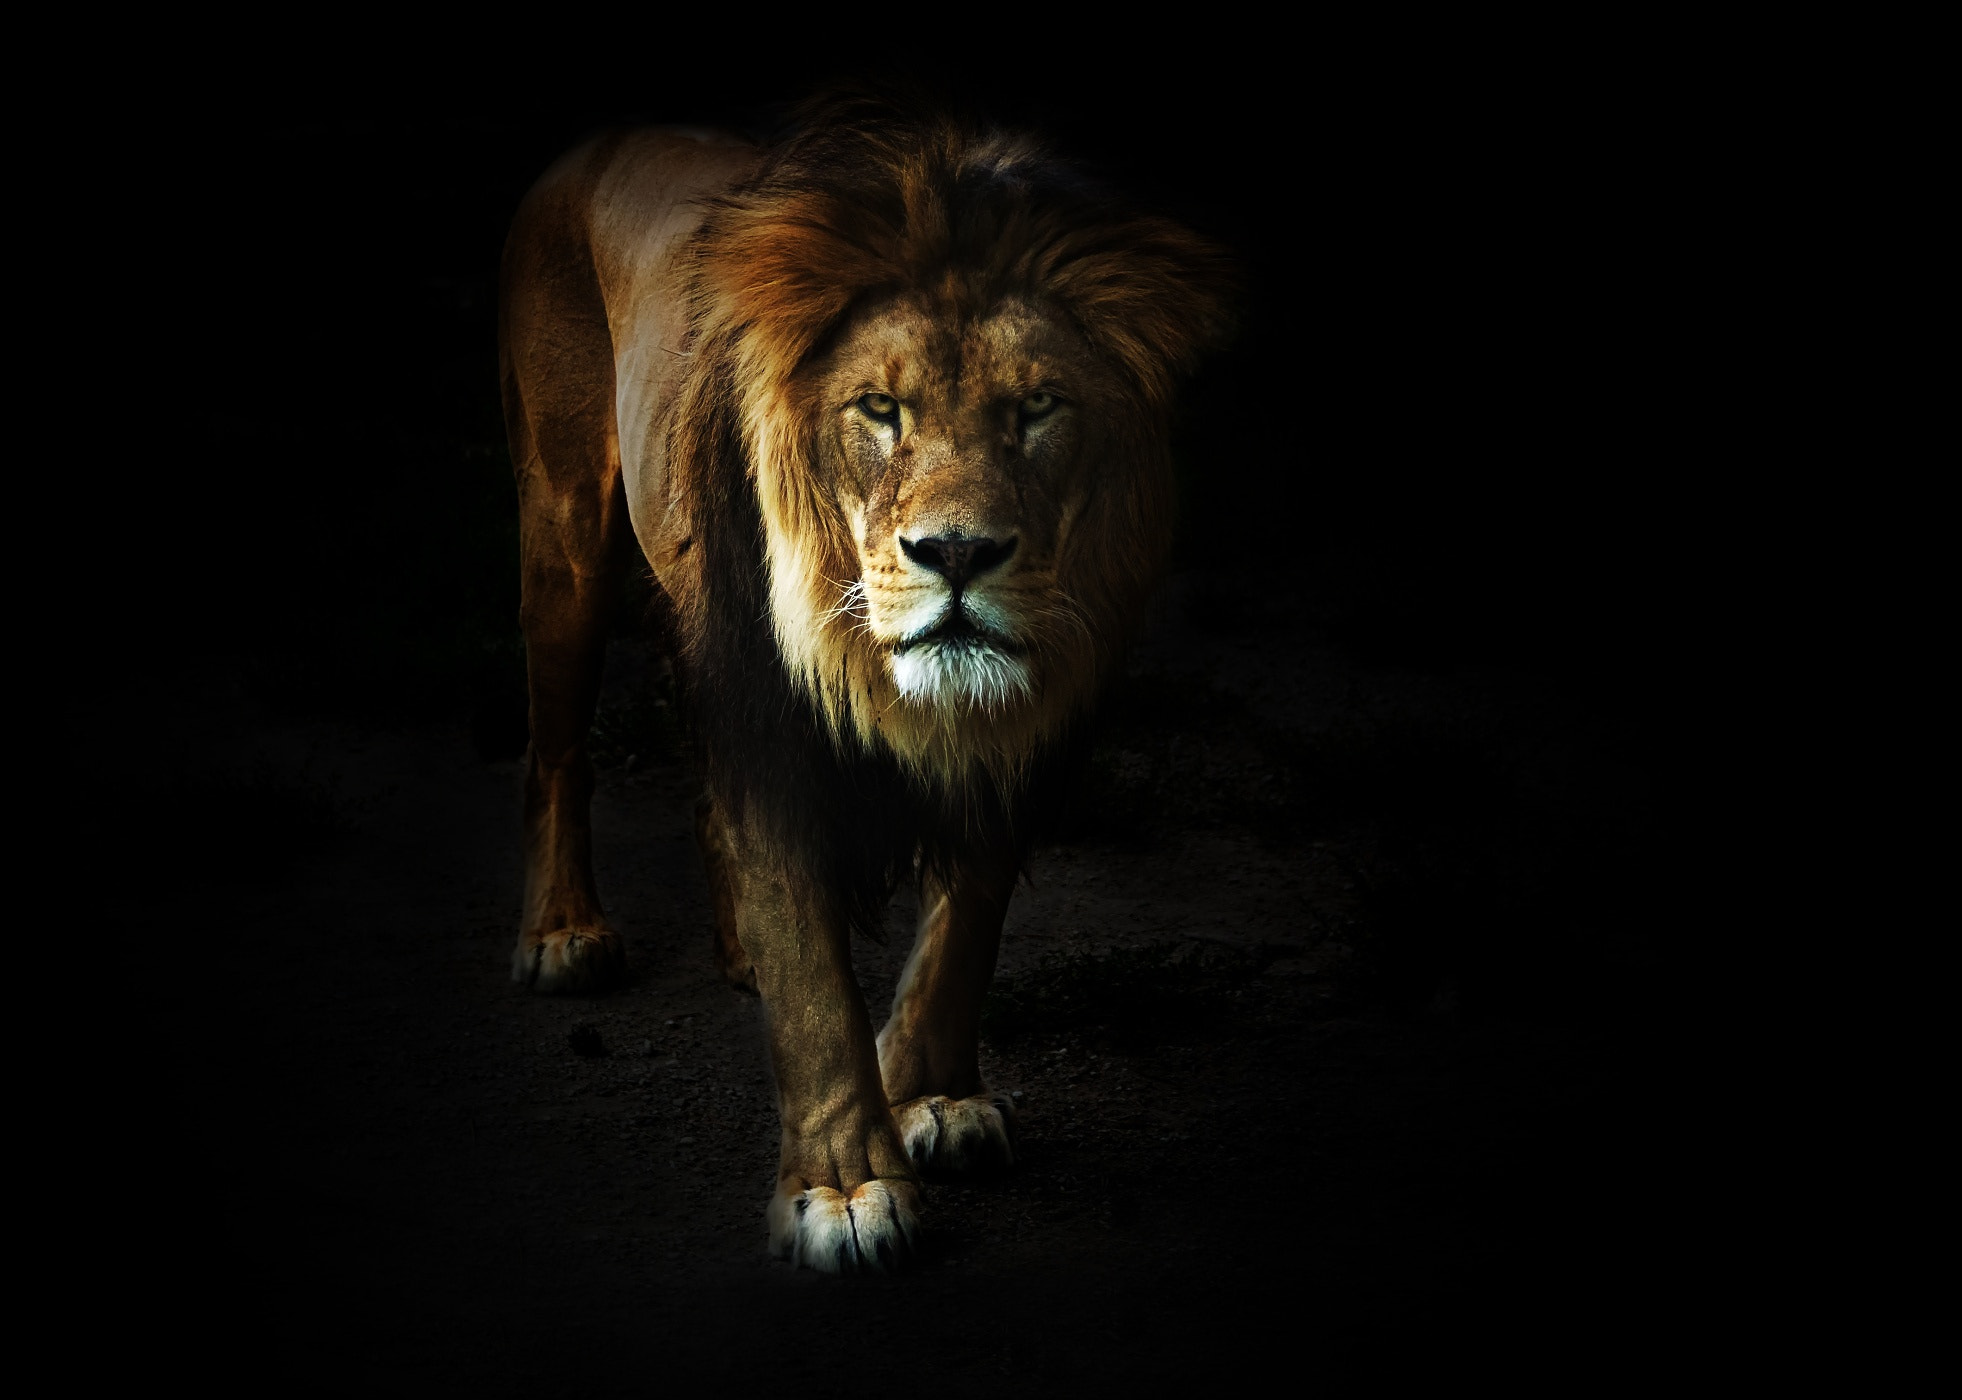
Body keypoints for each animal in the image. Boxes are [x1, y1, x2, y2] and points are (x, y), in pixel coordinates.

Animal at [499, 96, 1231, 1272]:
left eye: (1038, 407)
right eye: (881, 409)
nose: (959, 553)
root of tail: (601, 143)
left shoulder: (1019, 725)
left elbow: (966, 922)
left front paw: (936, 1095)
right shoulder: (769, 714)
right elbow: (810, 971)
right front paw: (843, 1188)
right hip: (565, 531)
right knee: (555, 749)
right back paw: (563, 934)